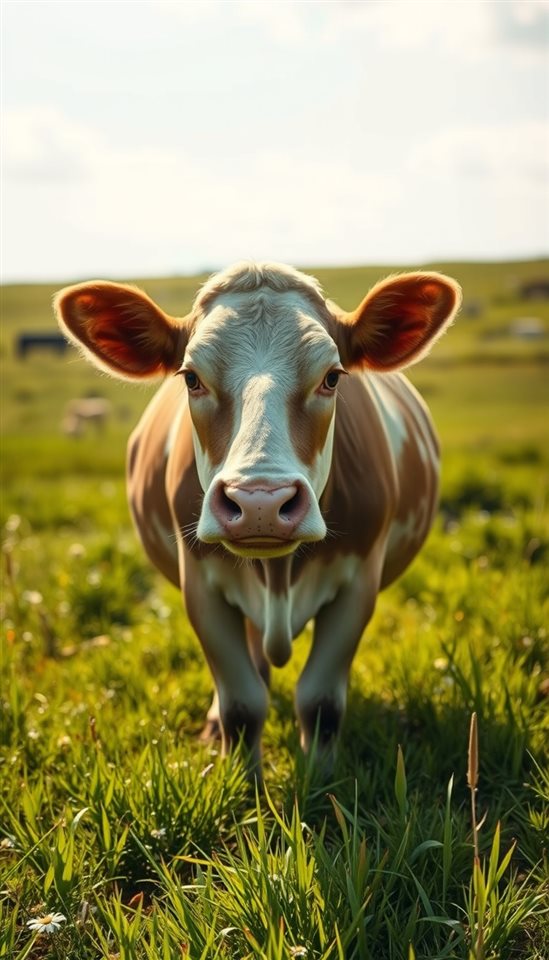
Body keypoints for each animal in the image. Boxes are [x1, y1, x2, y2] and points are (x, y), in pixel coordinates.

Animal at [55, 262, 461, 779]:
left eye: (332, 378)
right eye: (191, 378)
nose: (260, 503)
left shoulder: (359, 582)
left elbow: (321, 702)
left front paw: (320, 781)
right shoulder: (201, 586)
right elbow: (243, 704)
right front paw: (242, 780)